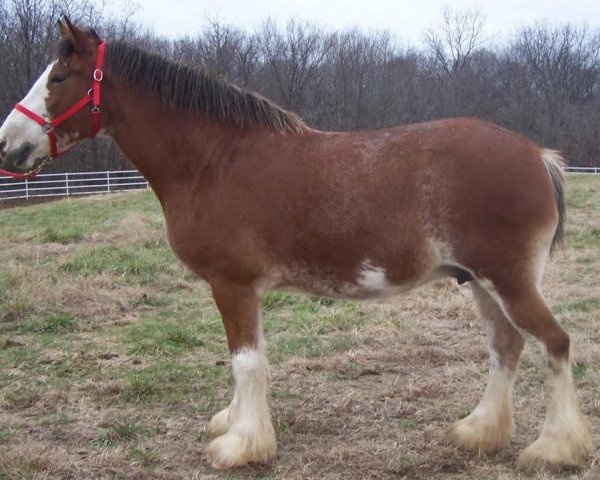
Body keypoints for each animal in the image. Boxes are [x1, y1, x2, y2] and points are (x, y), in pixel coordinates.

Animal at [0, 17, 592, 472]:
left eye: (60, 76)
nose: (8, 145)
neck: (213, 160)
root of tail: (536, 155)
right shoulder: (244, 290)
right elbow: (250, 359)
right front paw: (235, 423)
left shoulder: (232, 284)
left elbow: (245, 362)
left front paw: (240, 447)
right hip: (481, 284)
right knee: (506, 347)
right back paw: (480, 432)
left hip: (509, 282)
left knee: (554, 344)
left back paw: (554, 449)